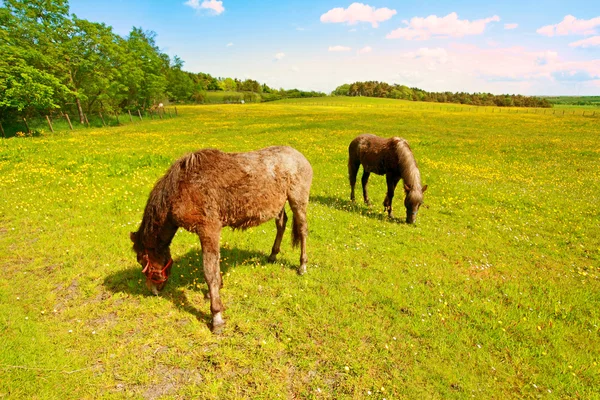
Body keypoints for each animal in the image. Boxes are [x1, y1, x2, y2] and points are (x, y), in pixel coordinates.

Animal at [129, 146, 312, 332]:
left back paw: (302, 266)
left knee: (302, 230)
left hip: (298, 201)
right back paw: (273, 255)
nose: (153, 290)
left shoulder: (209, 229)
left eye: (142, 260)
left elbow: (209, 271)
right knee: (281, 224)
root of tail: (298, 155)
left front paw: (216, 316)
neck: (183, 187)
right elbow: (215, 266)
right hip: (278, 204)